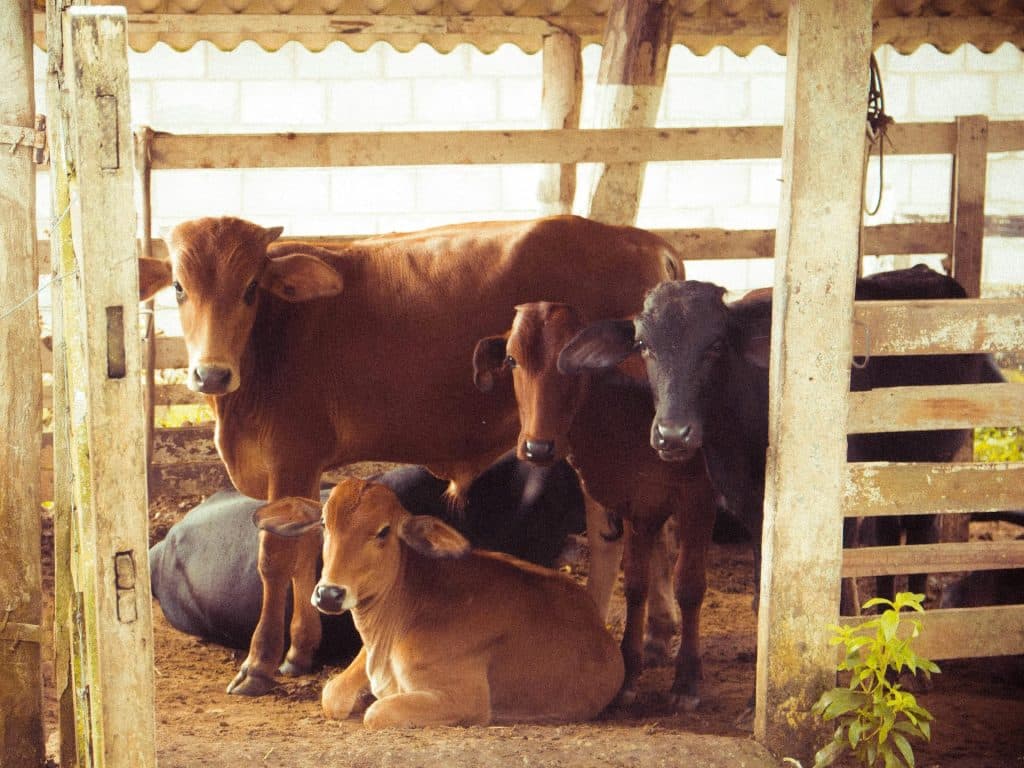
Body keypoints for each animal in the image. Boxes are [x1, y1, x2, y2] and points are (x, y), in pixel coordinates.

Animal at [138, 215, 679, 696]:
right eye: (179, 288)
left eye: (251, 287)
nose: (211, 373)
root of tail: (644, 241)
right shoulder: (304, 468)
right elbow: (305, 549)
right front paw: (299, 650)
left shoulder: (289, 456)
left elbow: (275, 559)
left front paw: (260, 663)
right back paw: (658, 634)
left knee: (620, 536)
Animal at [256, 479, 622, 729]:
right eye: (323, 524)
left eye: (384, 531)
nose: (329, 594)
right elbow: (331, 695)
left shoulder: (466, 699)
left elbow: (377, 713)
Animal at [561, 266, 999, 614]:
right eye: (643, 345)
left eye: (716, 345)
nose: (672, 434)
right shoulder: (749, 507)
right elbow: (762, 598)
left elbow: (840, 598)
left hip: (931, 462)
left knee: (920, 537)